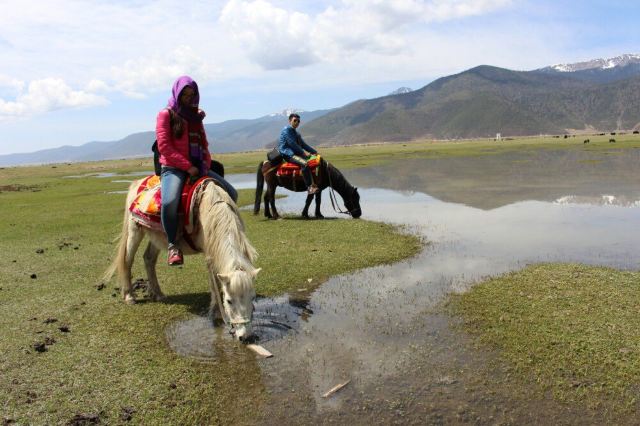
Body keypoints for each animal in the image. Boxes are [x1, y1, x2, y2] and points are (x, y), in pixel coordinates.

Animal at [104, 178, 258, 342]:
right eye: (229, 300)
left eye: (252, 297)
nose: (245, 336)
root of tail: (137, 184)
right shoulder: (209, 255)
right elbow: (215, 284)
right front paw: (216, 314)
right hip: (135, 230)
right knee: (127, 260)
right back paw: (129, 296)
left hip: (156, 237)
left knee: (148, 259)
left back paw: (158, 294)